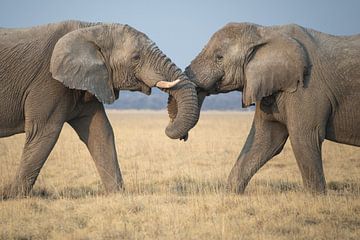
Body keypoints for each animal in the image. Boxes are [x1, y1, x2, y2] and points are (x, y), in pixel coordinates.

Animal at [0, 19, 200, 198]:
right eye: (136, 57)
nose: (182, 136)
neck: (91, 28)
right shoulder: (48, 82)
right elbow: (43, 132)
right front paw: (14, 196)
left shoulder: (91, 81)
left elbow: (101, 132)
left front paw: (117, 195)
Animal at [184, 22, 358, 194]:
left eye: (219, 57)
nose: (184, 137)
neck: (264, 31)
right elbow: (265, 139)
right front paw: (230, 195)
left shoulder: (307, 88)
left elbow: (305, 136)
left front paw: (317, 198)